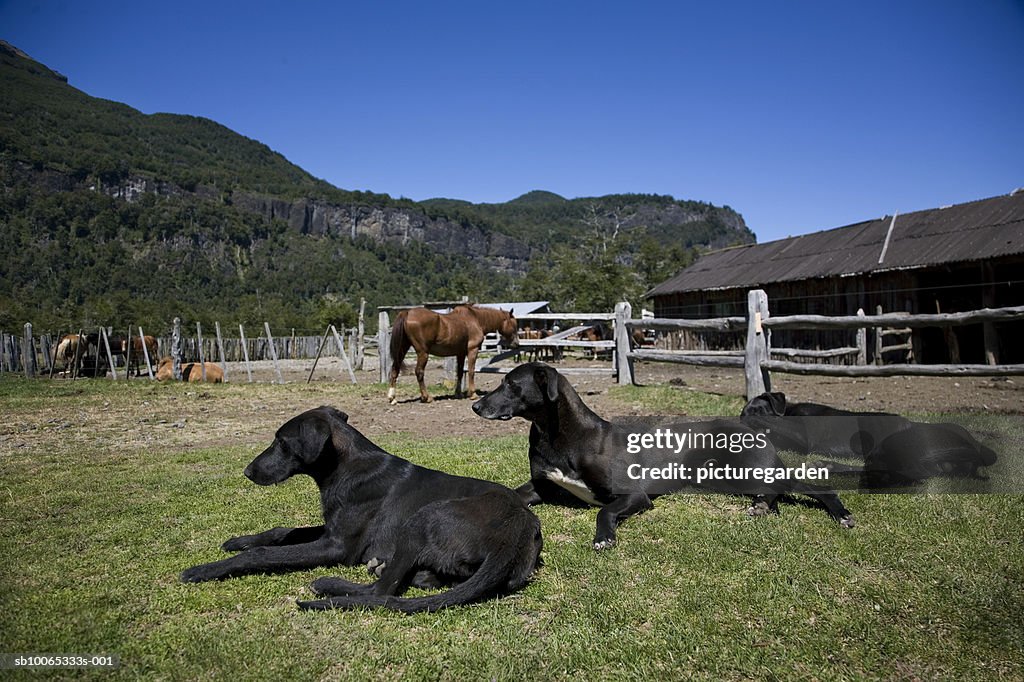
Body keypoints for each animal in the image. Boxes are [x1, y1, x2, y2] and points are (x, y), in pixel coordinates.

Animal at [181, 403, 544, 610]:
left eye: (281, 442)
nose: (247, 472)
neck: (346, 467)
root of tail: (516, 535)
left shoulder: (337, 546)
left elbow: (263, 555)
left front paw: (205, 569)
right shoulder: (332, 529)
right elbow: (285, 530)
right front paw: (239, 540)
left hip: (421, 519)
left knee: (381, 593)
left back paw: (331, 585)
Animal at [389, 303, 524, 403]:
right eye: (514, 324)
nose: (516, 344)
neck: (476, 319)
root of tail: (407, 313)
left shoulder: (460, 353)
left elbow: (459, 372)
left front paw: (458, 394)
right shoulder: (472, 350)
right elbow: (471, 371)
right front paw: (472, 394)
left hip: (402, 350)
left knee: (395, 369)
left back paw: (392, 398)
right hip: (423, 353)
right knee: (419, 372)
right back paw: (427, 397)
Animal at [473, 360, 856, 548]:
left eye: (510, 384)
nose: (476, 406)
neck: (559, 435)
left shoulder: (635, 495)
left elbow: (604, 511)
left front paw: (604, 538)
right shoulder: (541, 485)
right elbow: (511, 493)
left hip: (752, 469)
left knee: (816, 487)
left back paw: (840, 513)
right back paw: (763, 506)